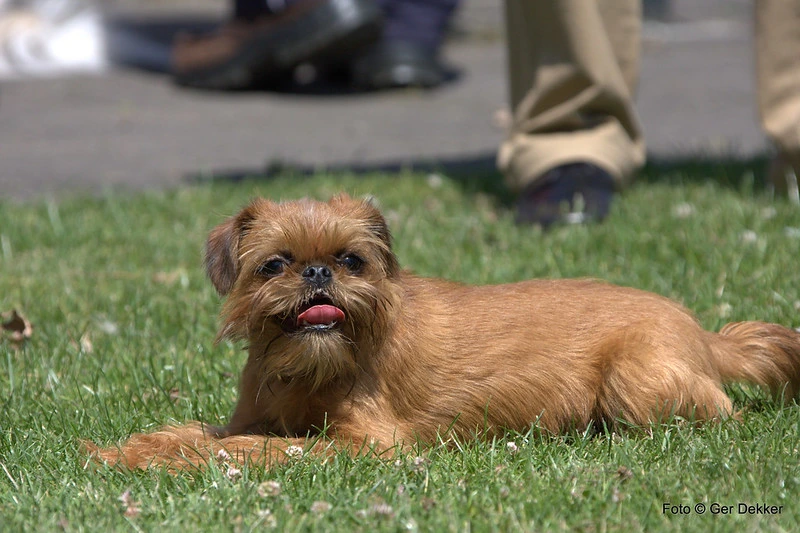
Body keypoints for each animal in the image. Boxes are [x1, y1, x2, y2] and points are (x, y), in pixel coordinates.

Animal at [90, 193, 800, 468]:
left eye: (352, 260)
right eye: (274, 265)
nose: (318, 273)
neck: (307, 370)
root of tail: (706, 336)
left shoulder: (364, 445)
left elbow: (251, 450)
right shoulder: (255, 414)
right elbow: (203, 433)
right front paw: (128, 448)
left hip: (635, 377)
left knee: (719, 413)